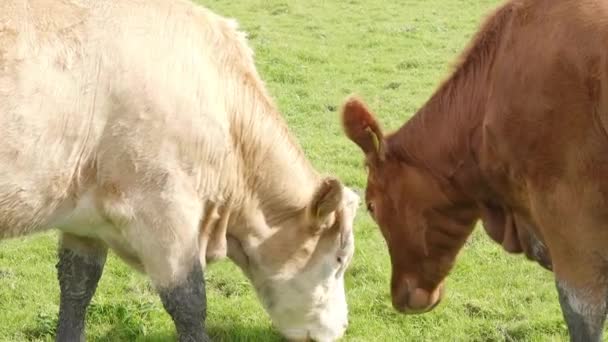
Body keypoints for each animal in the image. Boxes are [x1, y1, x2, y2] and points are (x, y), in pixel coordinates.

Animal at [0, 0, 360, 342]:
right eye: (341, 258)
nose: (343, 325)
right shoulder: (162, 207)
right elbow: (188, 301)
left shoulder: (85, 219)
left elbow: (77, 286)